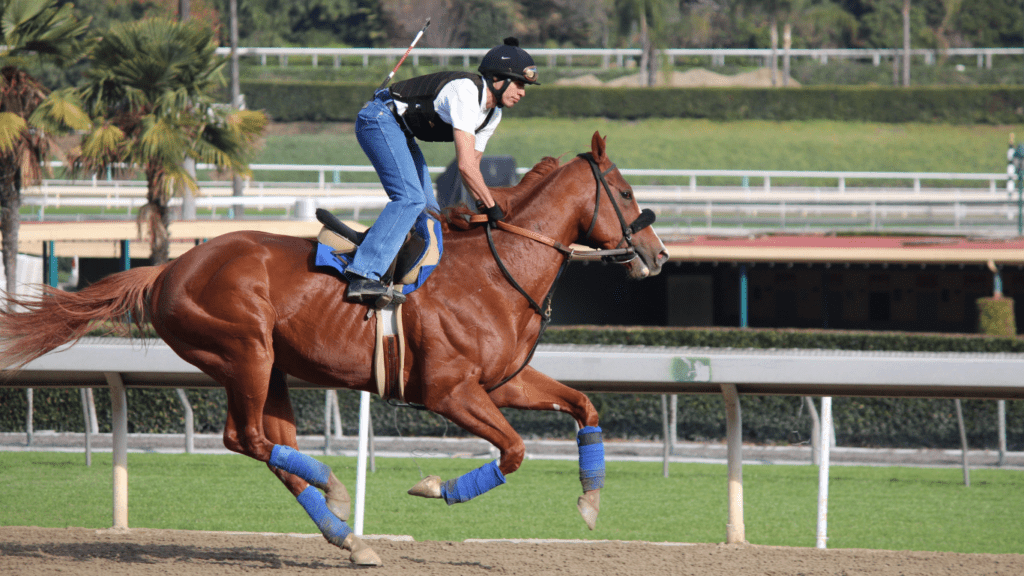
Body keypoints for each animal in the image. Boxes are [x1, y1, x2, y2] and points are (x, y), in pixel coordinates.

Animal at [0, 131, 667, 565]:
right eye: (625, 192)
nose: (657, 255)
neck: (497, 270)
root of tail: (168, 268)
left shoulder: (503, 381)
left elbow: (583, 405)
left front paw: (590, 503)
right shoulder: (448, 391)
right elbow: (514, 450)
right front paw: (436, 488)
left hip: (271, 368)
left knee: (271, 444)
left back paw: (348, 534)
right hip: (244, 352)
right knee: (247, 438)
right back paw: (339, 494)